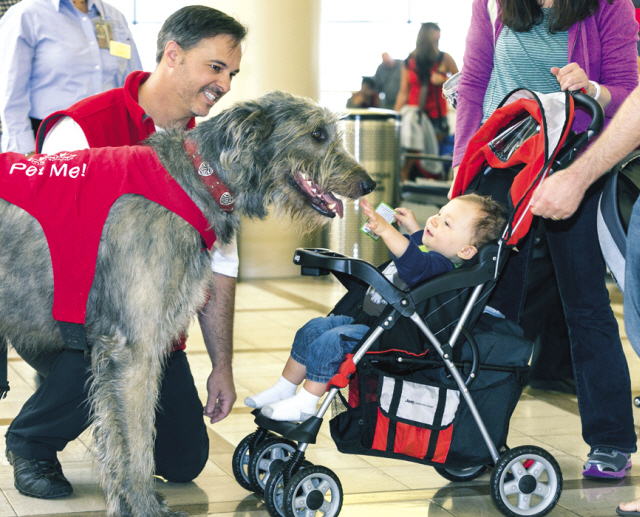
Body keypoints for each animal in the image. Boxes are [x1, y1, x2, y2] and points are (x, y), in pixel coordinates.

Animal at [0, 90, 376, 512]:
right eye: (316, 133)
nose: (369, 183)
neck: (198, 178)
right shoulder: (133, 348)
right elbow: (137, 439)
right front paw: (145, 507)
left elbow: (119, 439)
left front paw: (125, 503)